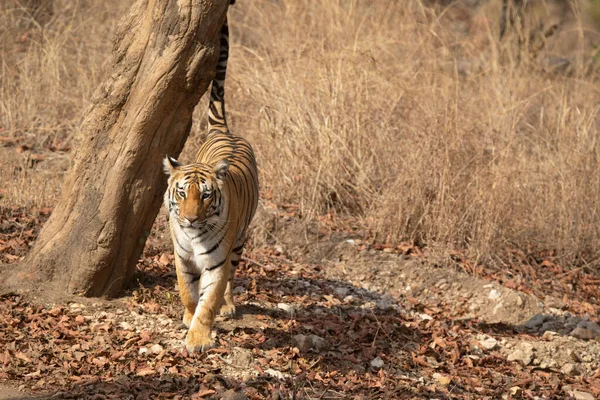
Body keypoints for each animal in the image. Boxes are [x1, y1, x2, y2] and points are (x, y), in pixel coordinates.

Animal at [163, 14, 258, 354]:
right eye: (181, 193)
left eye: (205, 196)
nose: (190, 219)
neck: (193, 236)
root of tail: (224, 132)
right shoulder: (182, 257)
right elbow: (188, 292)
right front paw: (188, 318)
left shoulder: (216, 263)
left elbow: (209, 299)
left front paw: (199, 337)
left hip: (239, 240)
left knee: (231, 275)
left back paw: (228, 306)